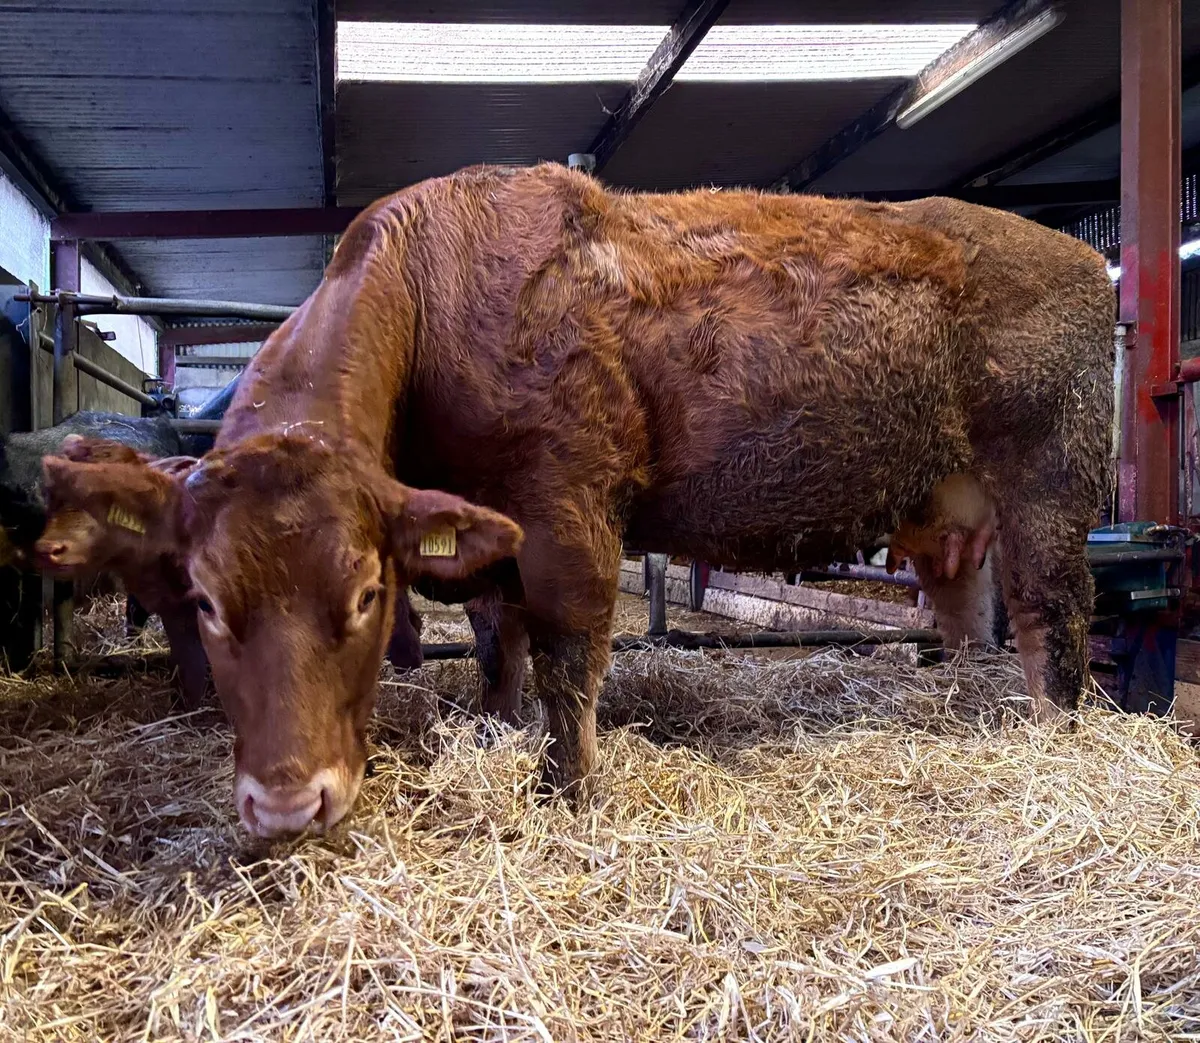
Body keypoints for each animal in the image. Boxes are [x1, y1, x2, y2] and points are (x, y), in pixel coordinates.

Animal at [49, 163, 1114, 837]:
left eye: (365, 596)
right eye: (203, 600)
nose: (285, 806)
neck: (434, 288)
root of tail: (1074, 252)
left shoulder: (567, 505)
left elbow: (568, 652)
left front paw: (568, 789)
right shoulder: (483, 526)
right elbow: (498, 642)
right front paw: (496, 727)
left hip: (1050, 478)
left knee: (1052, 619)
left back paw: (1055, 742)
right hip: (957, 513)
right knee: (975, 617)